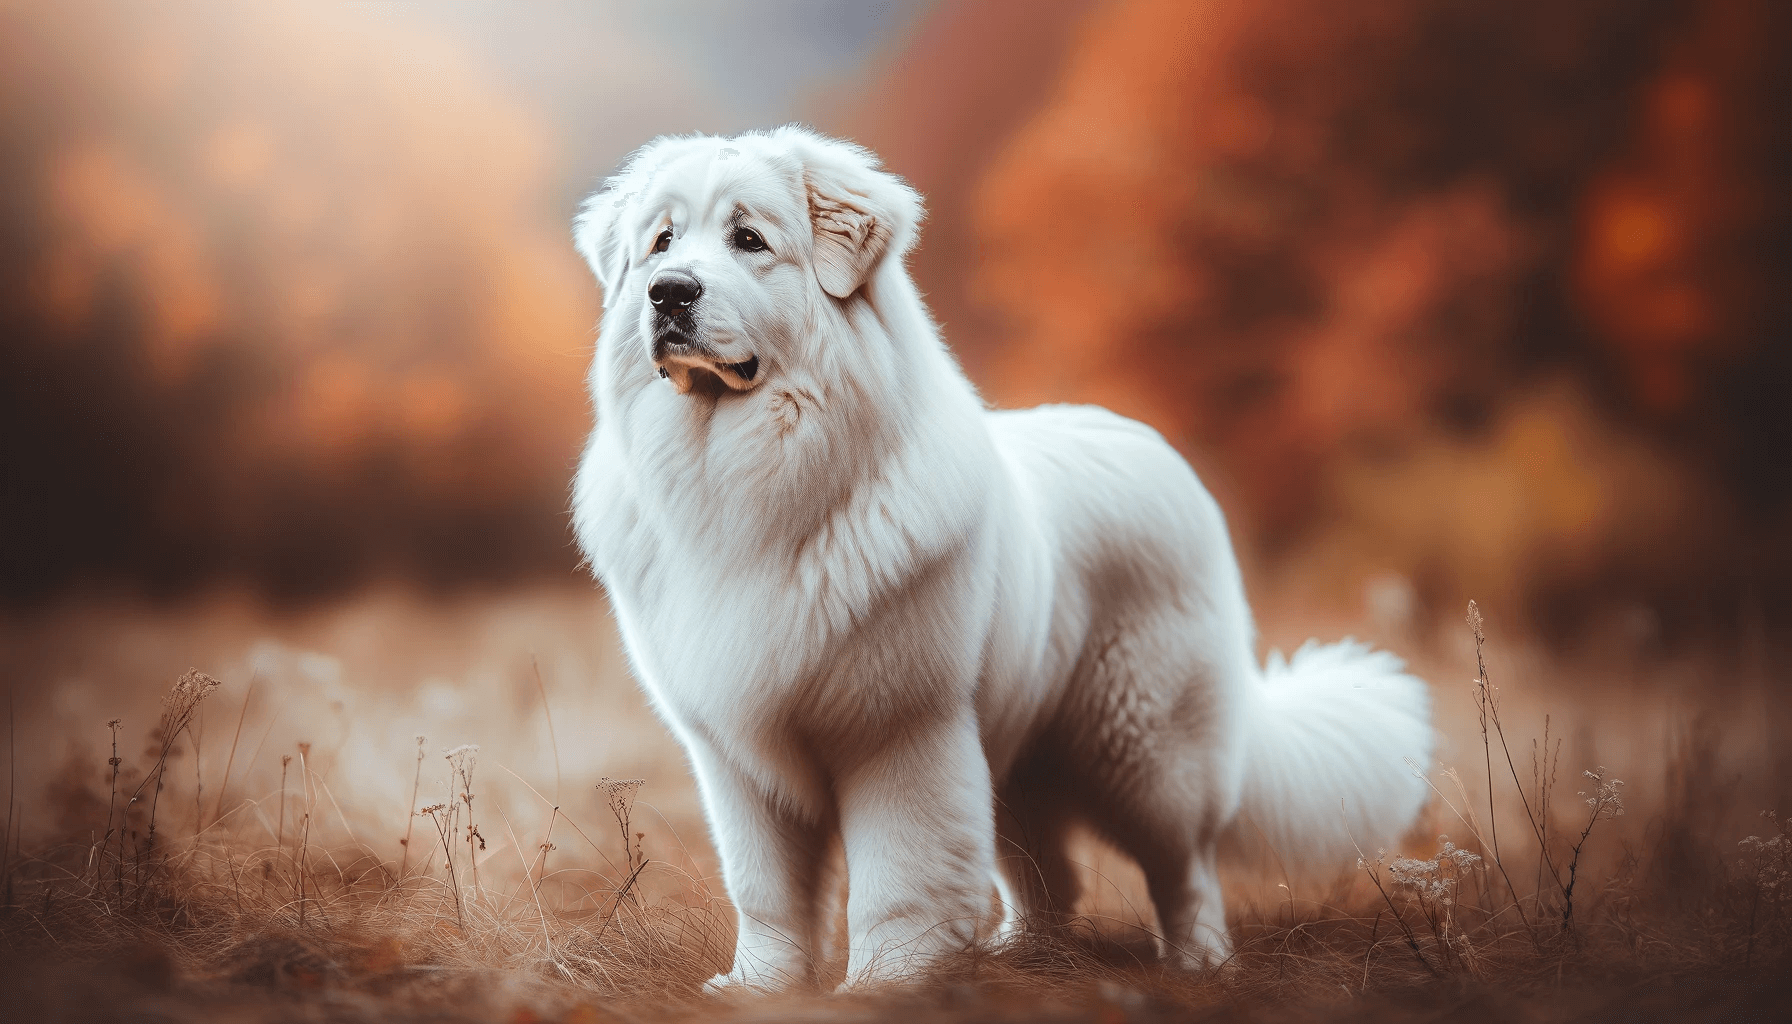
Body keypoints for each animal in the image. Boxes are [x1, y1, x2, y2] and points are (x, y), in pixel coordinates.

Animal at [569, 128, 1426, 997]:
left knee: (1186, 868)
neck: (747, 477)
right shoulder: (736, 751)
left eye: (749, 239)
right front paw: (760, 988)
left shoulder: (901, 733)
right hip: (1019, 755)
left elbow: (897, 877)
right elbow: (766, 887)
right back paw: (1024, 959)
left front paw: (885, 984)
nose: (669, 294)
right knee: (1051, 875)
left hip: (1149, 753)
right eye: (661, 243)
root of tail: (1148, 442)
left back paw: (1197, 966)